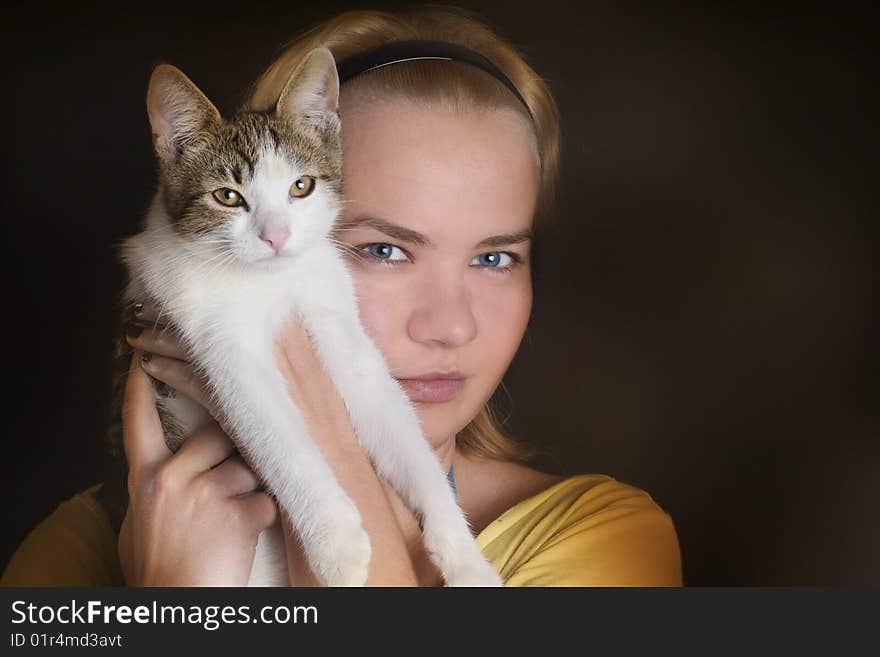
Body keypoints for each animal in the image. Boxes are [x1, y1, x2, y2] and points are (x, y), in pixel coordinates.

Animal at [103, 48, 502, 588]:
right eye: (227, 196)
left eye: (301, 186)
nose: (275, 236)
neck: (275, 282)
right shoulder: (214, 338)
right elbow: (281, 437)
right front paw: (337, 542)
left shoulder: (336, 318)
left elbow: (396, 422)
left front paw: (464, 556)